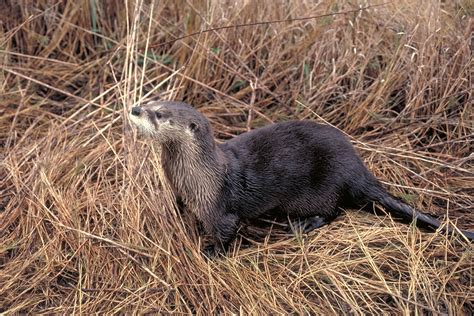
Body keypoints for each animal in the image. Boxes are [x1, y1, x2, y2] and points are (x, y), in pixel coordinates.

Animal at [129, 102, 474, 256]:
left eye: (158, 114)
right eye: (152, 100)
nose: (134, 108)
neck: (197, 177)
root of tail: (356, 168)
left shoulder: (221, 207)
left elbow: (226, 229)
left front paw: (212, 250)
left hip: (319, 189)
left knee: (335, 210)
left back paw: (304, 224)